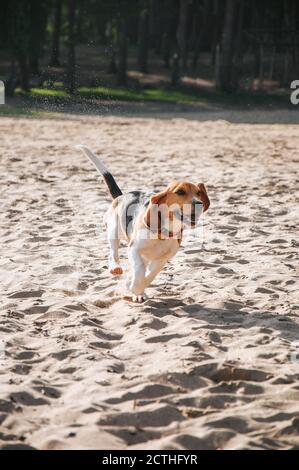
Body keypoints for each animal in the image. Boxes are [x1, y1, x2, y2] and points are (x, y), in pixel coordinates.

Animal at [76, 145, 210, 302]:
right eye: (180, 192)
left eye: (198, 193)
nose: (199, 203)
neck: (162, 233)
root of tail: (121, 196)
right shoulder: (134, 249)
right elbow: (139, 271)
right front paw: (134, 287)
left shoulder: (162, 259)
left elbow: (149, 275)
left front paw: (136, 288)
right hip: (113, 229)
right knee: (113, 253)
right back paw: (115, 268)